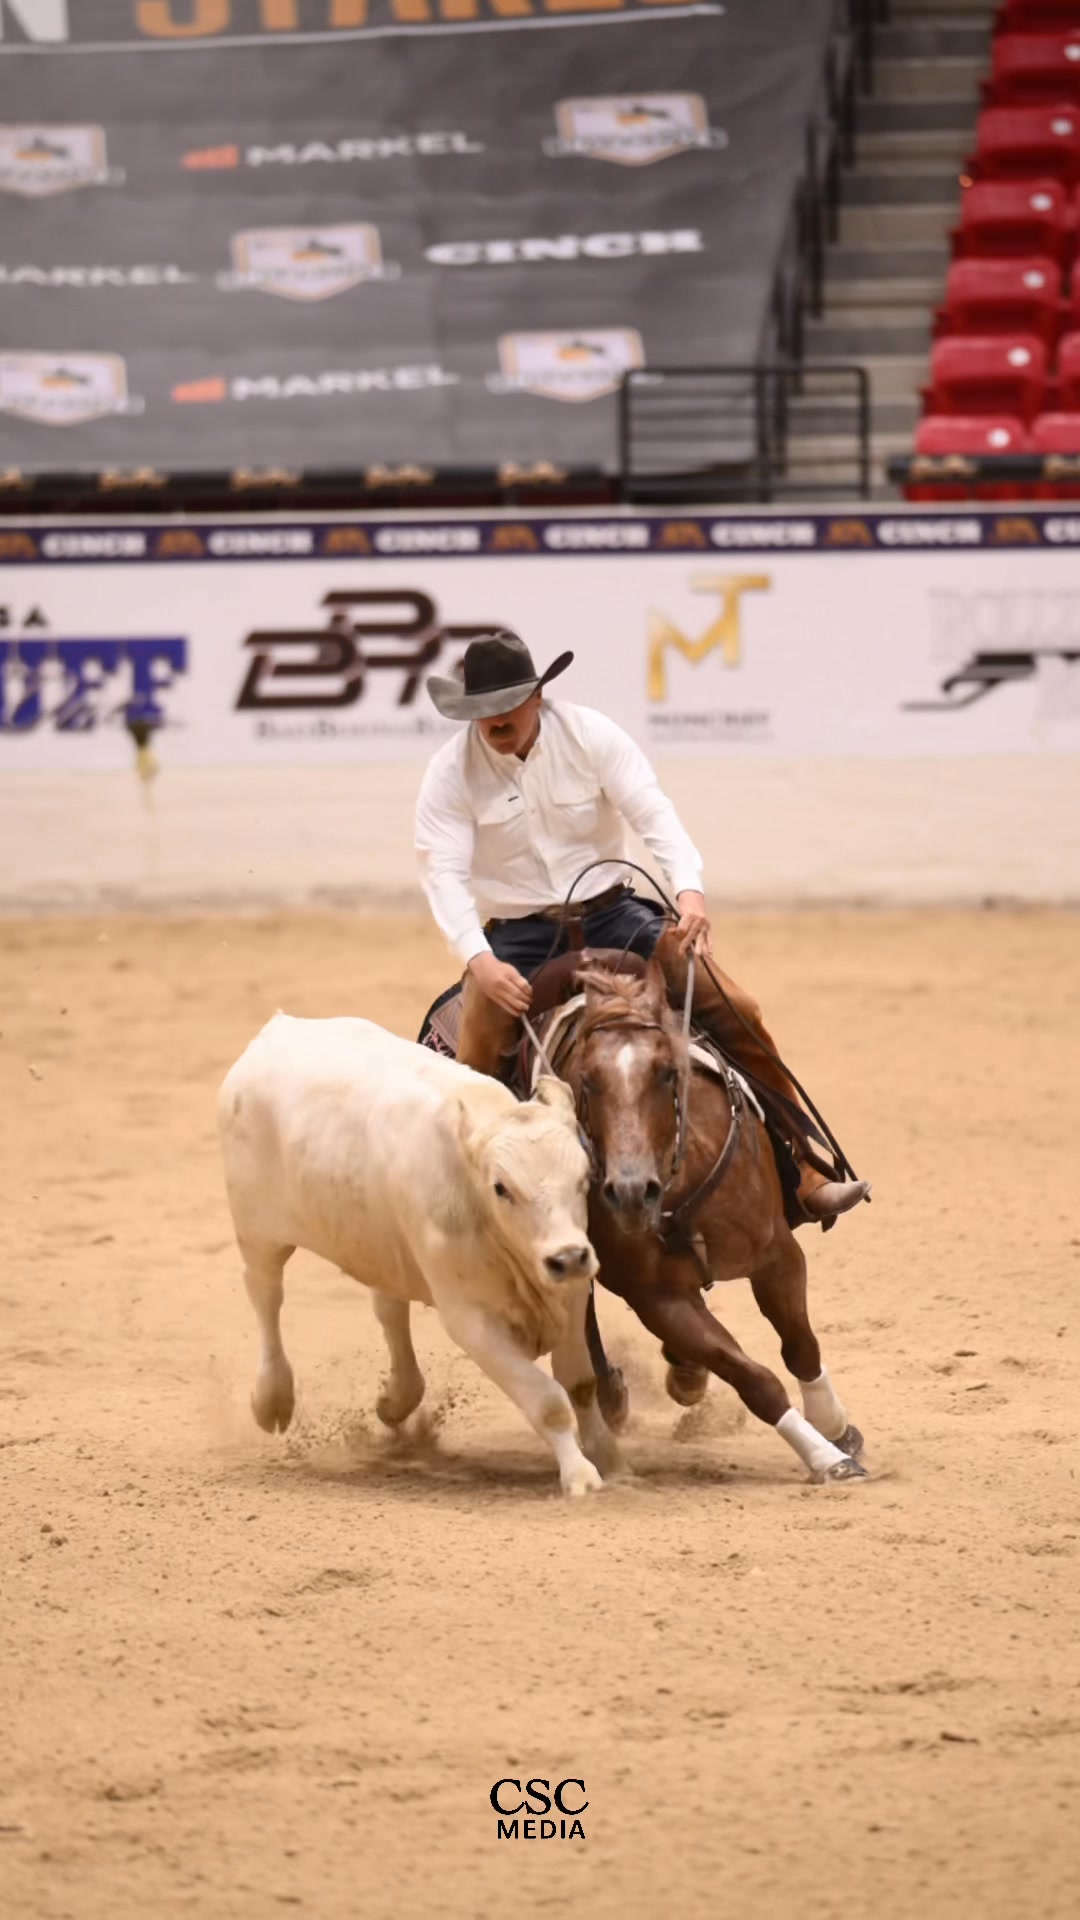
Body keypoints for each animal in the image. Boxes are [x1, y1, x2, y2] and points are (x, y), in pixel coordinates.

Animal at [538, 957, 868, 1484]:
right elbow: (753, 1377)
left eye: (667, 1073)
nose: (631, 1192)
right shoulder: (659, 1299)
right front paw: (825, 1456)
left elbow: (799, 1344)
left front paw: (835, 1427)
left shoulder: (778, 1254)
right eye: (586, 1080)